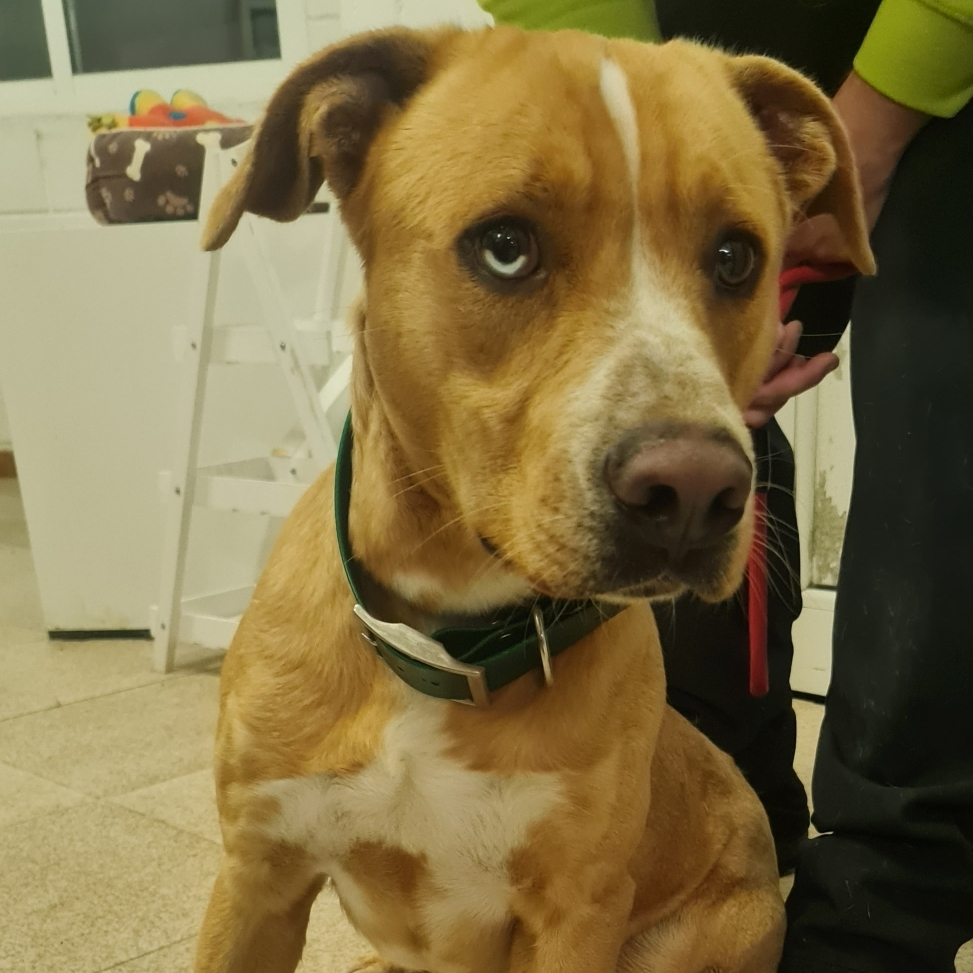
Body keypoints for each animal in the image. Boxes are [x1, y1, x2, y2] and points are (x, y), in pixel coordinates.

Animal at [195, 23, 873, 973]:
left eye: (735, 258)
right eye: (505, 245)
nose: (695, 488)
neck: (446, 648)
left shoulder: (574, 911)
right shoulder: (256, 877)